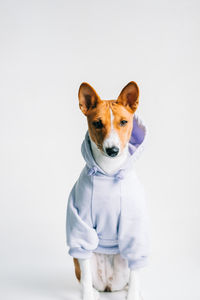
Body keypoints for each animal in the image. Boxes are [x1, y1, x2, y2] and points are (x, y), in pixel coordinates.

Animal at [66, 82, 148, 300]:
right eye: (97, 123)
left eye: (124, 122)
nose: (113, 151)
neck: (109, 172)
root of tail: (108, 285)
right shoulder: (81, 222)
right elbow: (85, 276)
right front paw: (87, 296)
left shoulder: (134, 227)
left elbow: (136, 271)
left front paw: (134, 296)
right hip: (80, 259)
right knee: (85, 274)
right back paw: (93, 292)